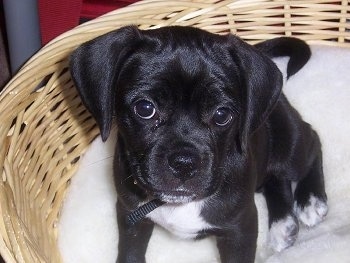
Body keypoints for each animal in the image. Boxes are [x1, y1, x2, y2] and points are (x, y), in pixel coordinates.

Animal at [70, 25, 328, 263]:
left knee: (312, 143)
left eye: (222, 114)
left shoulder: (240, 229)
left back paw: (311, 200)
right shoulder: (130, 214)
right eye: (144, 108)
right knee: (275, 178)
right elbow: (130, 253)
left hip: (289, 146)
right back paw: (283, 225)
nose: (184, 163)